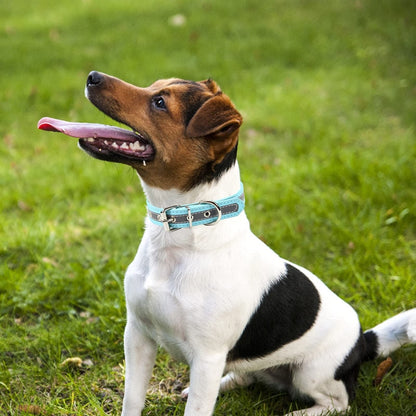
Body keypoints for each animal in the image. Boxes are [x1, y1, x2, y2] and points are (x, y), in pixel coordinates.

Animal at [37, 72, 414, 416]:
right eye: (153, 86)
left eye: (159, 103)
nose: (92, 76)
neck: (181, 231)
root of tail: (363, 340)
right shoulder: (138, 336)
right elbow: (132, 401)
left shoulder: (206, 357)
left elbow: (198, 410)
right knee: (248, 375)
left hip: (312, 373)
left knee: (338, 403)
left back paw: (300, 413)